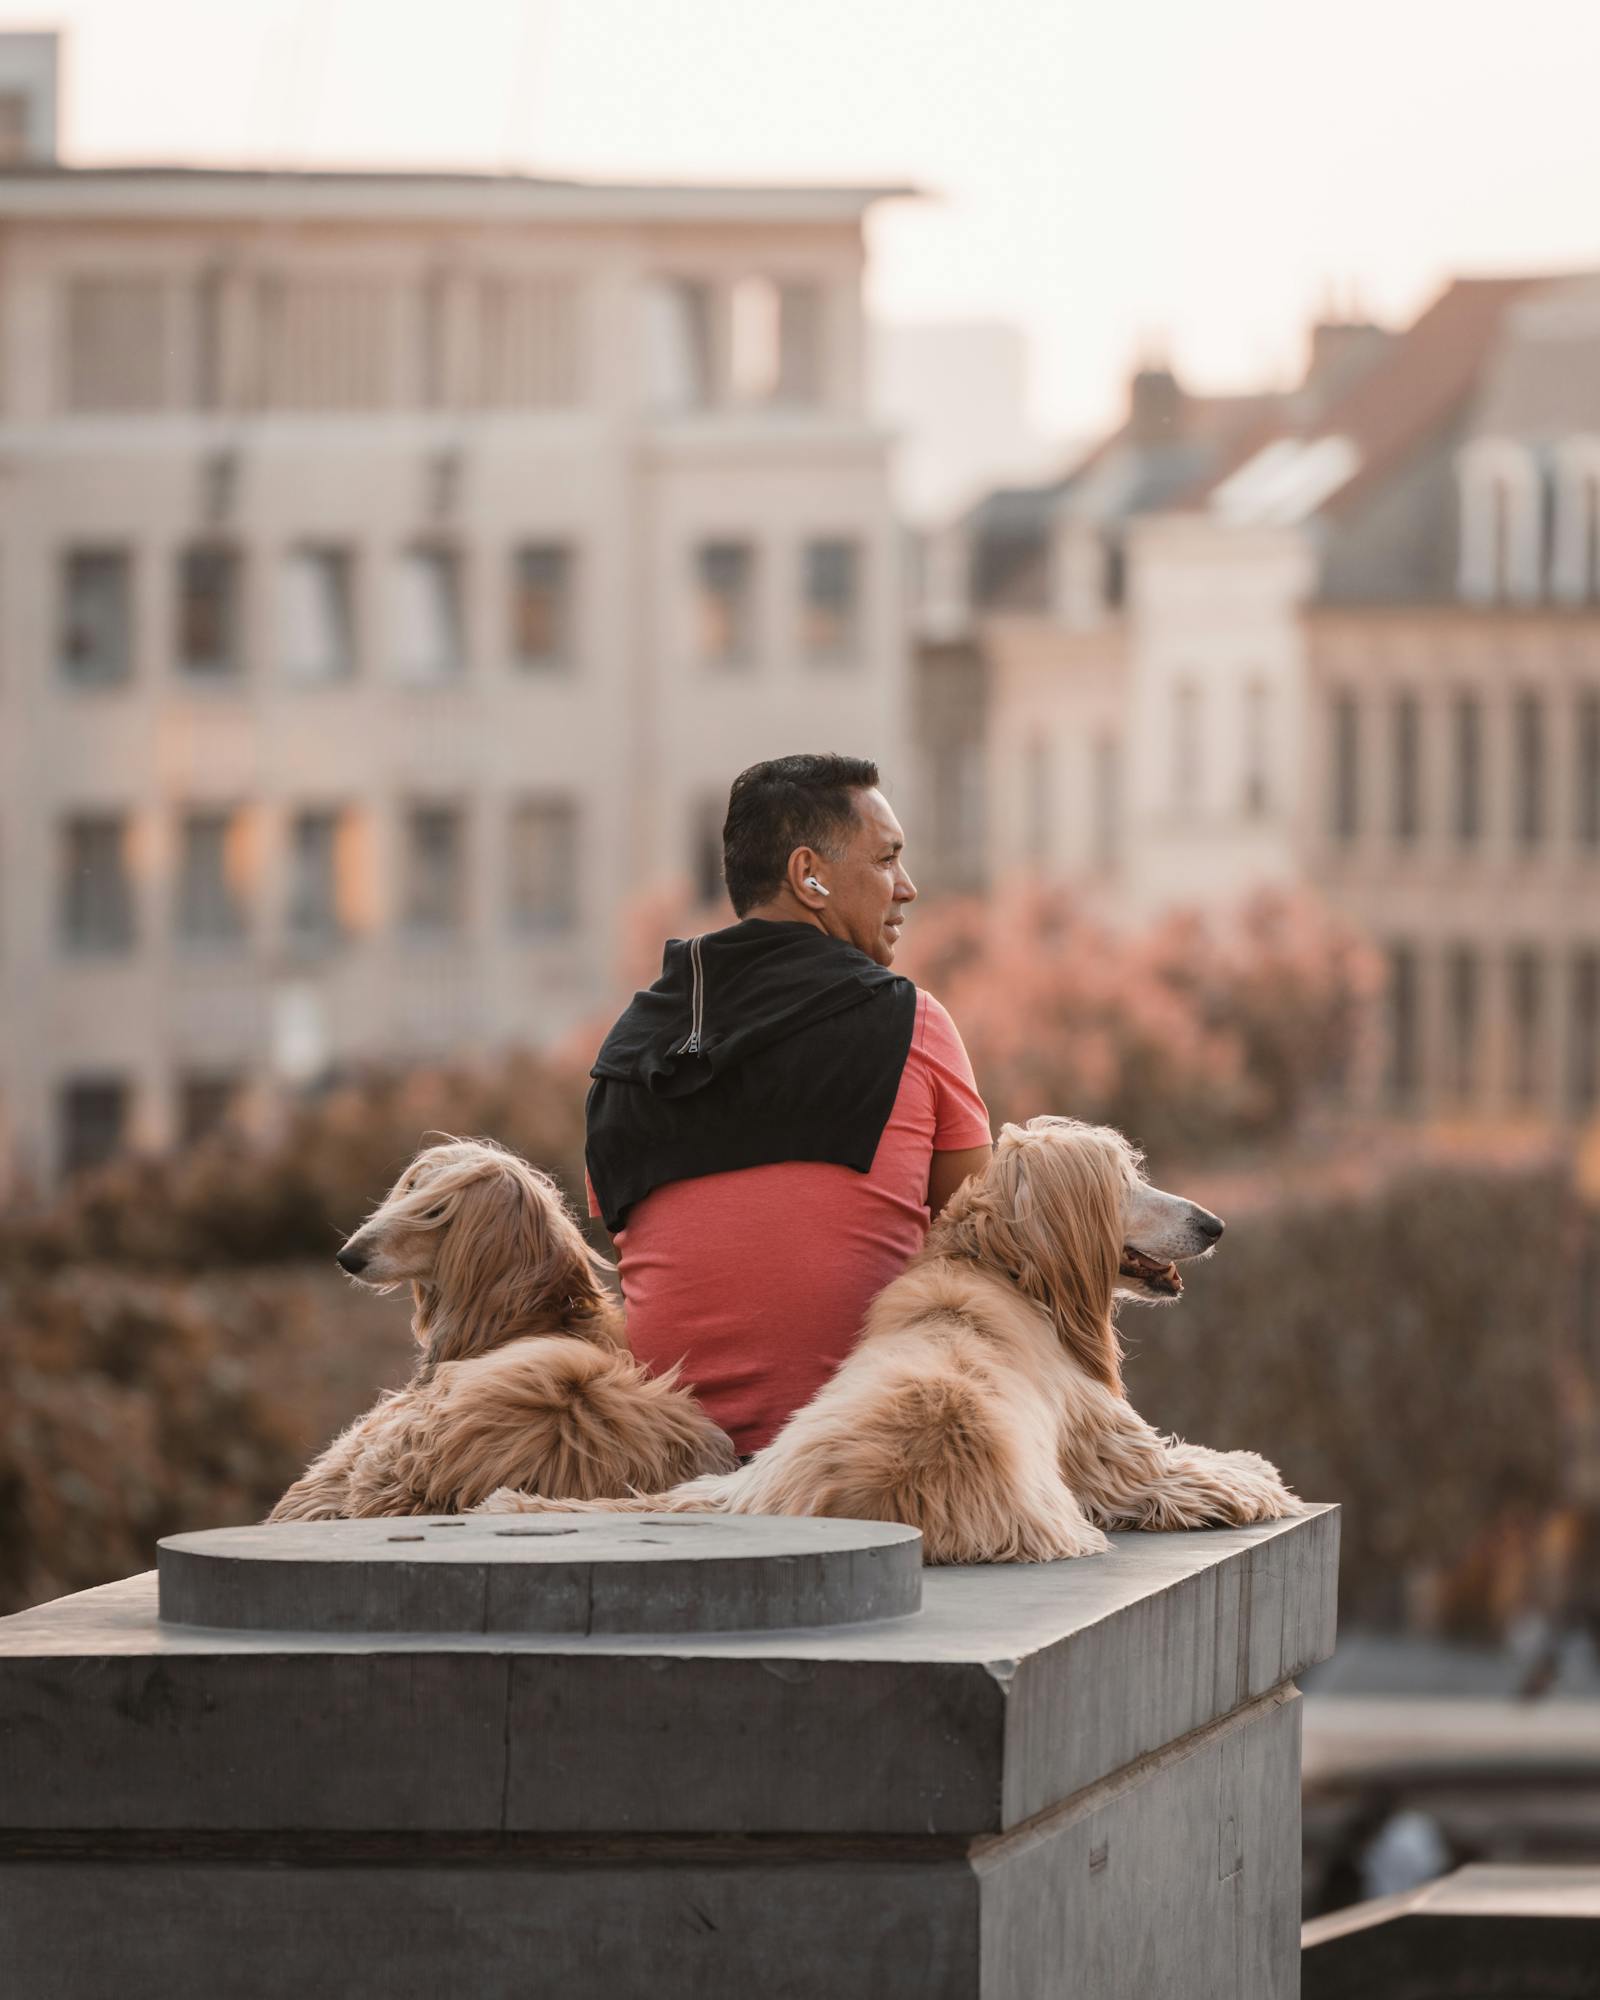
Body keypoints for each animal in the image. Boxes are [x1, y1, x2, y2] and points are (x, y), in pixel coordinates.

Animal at [482, 1112, 1304, 1560]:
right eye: (1127, 1183)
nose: (1214, 1224)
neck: (993, 1265)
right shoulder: (1120, 1460)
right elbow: (1213, 1472)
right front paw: (1257, 1475)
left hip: (743, 1478)